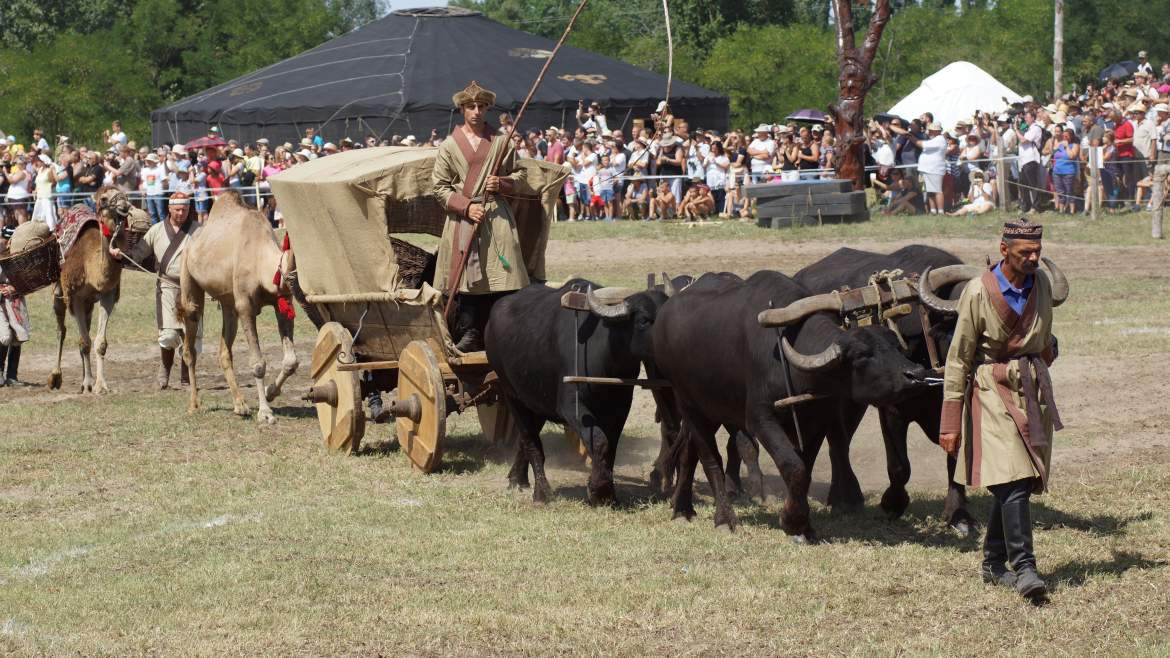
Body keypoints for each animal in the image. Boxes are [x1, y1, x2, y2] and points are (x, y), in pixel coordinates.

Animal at [50, 186, 132, 388]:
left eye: (124, 195)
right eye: (104, 199)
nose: (124, 206)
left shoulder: (108, 294)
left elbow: (99, 343)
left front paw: (100, 385)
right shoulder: (74, 297)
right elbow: (84, 342)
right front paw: (88, 383)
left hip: (89, 303)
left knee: (85, 328)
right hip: (60, 292)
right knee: (61, 329)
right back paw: (56, 376)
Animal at [177, 192, 299, 421]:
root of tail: (191, 243)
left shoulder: (282, 302)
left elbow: (291, 361)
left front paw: (270, 393)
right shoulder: (245, 305)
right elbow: (258, 364)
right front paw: (265, 413)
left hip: (228, 304)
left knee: (224, 351)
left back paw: (240, 405)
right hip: (187, 274)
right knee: (190, 341)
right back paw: (194, 405)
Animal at [484, 278, 669, 503]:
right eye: (643, 320)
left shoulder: (621, 406)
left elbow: (611, 446)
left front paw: (607, 492)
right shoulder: (572, 406)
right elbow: (599, 441)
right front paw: (599, 490)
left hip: (536, 401)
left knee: (525, 439)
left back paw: (517, 479)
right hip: (512, 395)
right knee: (531, 441)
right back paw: (541, 493)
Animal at [650, 269, 931, 536]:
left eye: (896, 346)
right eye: (862, 355)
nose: (915, 374)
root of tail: (663, 318)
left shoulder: (816, 420)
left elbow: (805, 468)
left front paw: (802, 524)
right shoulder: (761, 420)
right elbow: (793, 466)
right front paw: (792, 521)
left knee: (688, 453)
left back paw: (682, 508)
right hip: (689, 406)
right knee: (710, 460)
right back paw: (724, 519)